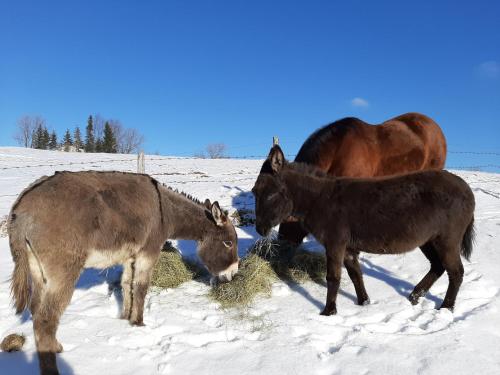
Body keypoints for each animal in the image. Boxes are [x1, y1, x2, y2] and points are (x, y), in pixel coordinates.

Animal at [254, 147, 472, 318]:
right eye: (255, 192)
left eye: (271, 195)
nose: (259, 230)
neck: (319, 200)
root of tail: (467, 189)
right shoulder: (348, 248)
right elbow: (355, 274)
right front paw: (363, 303)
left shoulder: (335, 243)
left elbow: (333, 278)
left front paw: (328, 312)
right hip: (428, 240)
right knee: (438, 266)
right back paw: (415, 296)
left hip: (447, 239)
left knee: (456, 272)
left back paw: (446, 308)